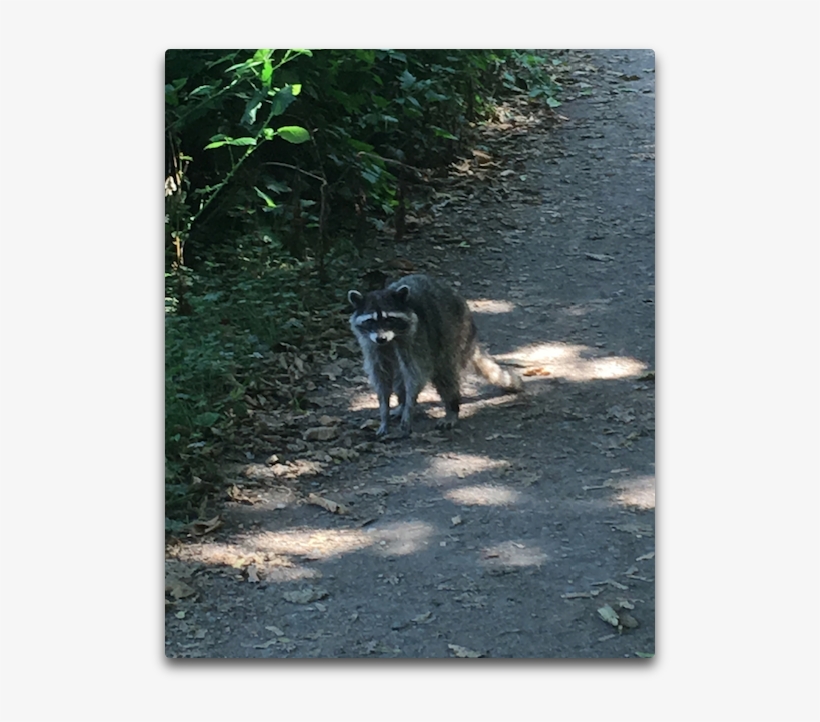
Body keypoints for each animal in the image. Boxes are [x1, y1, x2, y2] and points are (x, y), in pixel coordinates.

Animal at [348, 274, 523, 437]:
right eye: (370, 321)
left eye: (389, 319)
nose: (381, 338)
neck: (392, 339)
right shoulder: (371, 345)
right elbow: (381, 377)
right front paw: (385, 412)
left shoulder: (417, 339)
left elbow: (416, 375)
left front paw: (409, 409)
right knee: (399, 379)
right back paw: (401, 404)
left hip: (453, 332)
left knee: (445, 375)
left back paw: (451, 408)